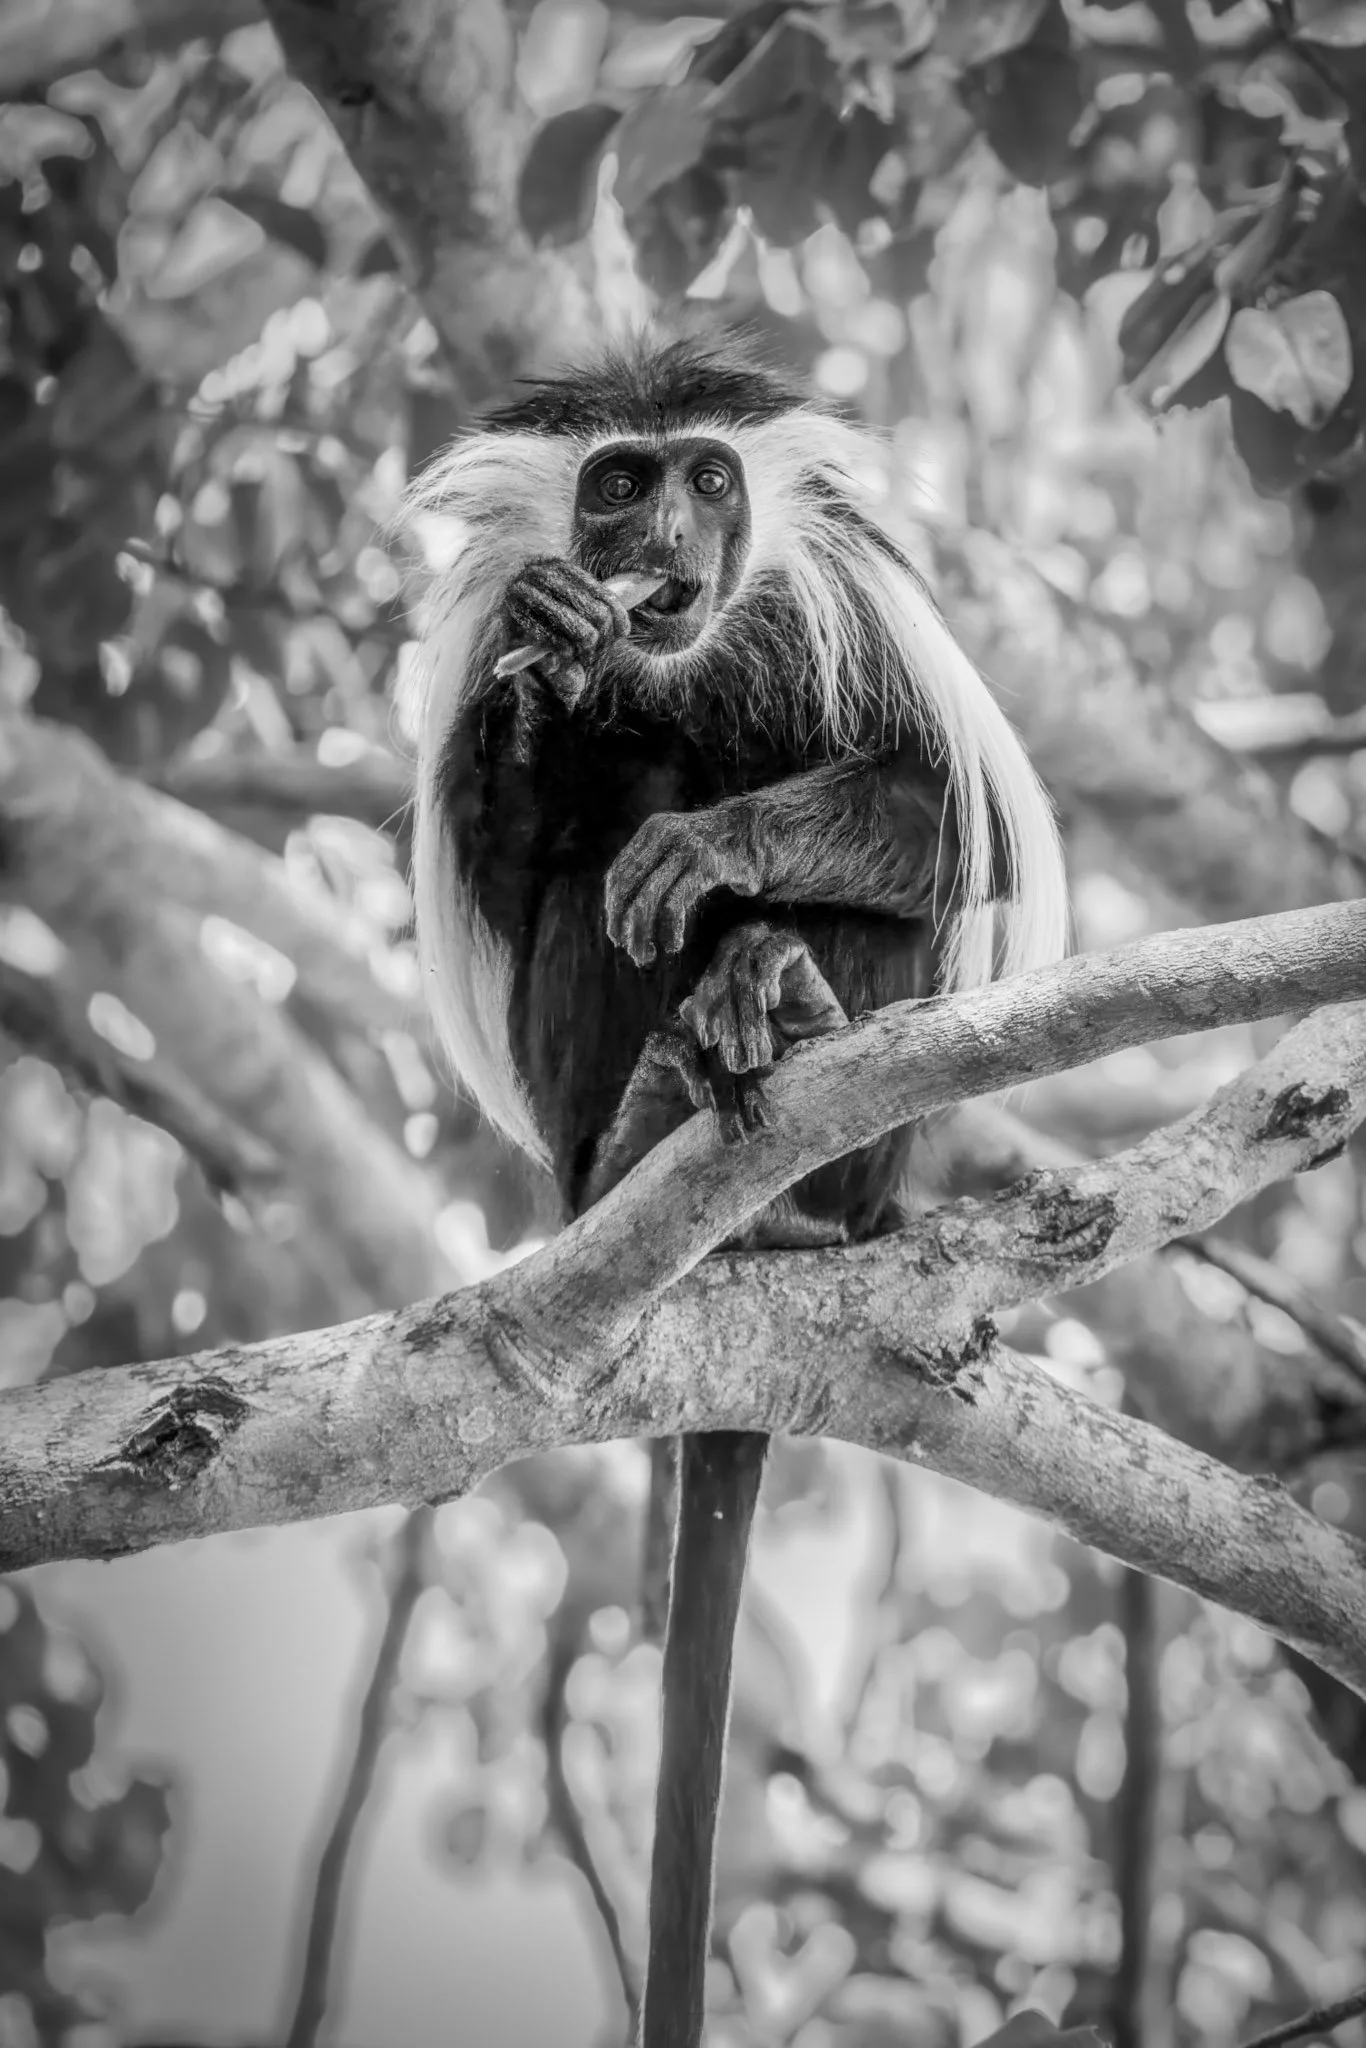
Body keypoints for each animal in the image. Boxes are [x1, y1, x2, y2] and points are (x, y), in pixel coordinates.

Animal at [404, 333, 1067, 2046]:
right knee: (588, 863)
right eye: (616, 484)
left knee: (852, 892)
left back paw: (770, 1021)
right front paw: (549, 677)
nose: (662, 540)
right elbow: (515, 851)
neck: (684, 654)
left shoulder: (860, 607)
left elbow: (945, 827)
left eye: (711, 477)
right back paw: (644, 1130)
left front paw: (718, 853)